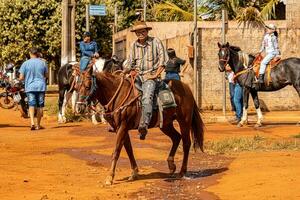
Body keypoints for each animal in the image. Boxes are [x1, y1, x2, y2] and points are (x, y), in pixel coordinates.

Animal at [76, 66, 205, 186]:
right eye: (76, 87)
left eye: (87, 87)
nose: (79, 107)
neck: (118, 96)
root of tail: (187, 88)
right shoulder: (121, 128)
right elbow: (129, 150)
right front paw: (134, 173)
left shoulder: (122, 127)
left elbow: (116, 151)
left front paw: (110, 177)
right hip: (166, 125)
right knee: (176, 138)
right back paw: (171, 165)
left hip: (184, 122)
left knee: (186, 143)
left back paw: (182, 171)